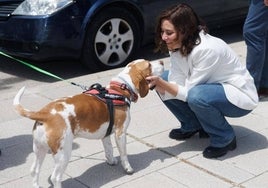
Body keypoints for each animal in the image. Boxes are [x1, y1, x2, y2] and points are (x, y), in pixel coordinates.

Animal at [13, 59, 163, 188]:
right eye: (149, 65)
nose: (162, 61)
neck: (119, 90)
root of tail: (45, 113)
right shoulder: (120, 133)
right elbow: (123, 154)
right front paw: (128, 168)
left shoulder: (106, 135)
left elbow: (109, 150)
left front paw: (111, 161)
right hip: (63, 153)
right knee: (55, 177)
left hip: (39, 149)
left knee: (34, 170)